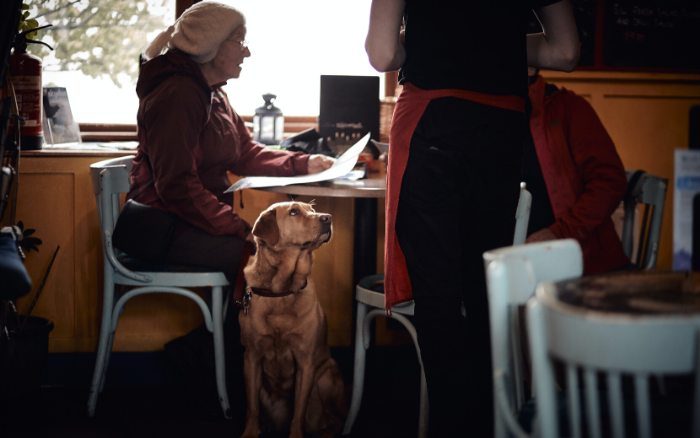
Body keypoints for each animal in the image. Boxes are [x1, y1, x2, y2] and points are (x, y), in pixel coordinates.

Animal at [241, 202, 348, 438]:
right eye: (293, 212)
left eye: (312, 210)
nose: (328, 218)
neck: (282, 290)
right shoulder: (252, 357)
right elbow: (251, 406)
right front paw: (251, 432)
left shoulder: (305, 362)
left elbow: (299, 411)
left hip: (326, 377)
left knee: (335, 420)